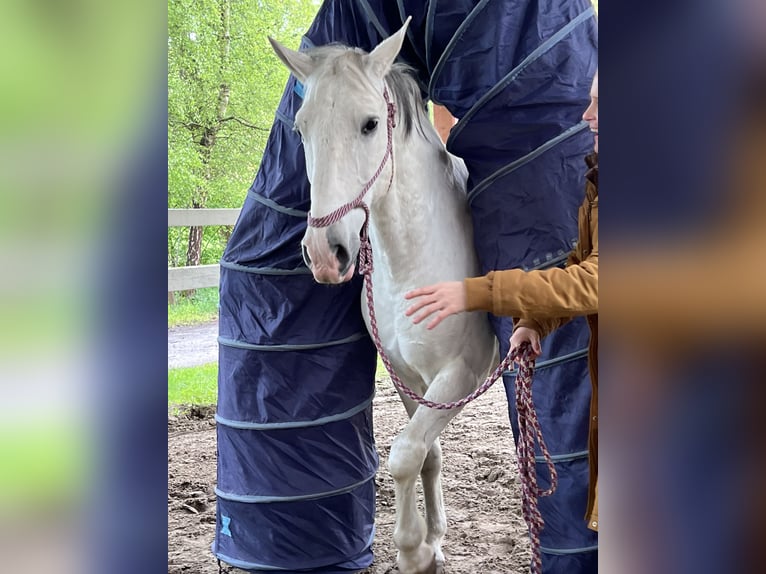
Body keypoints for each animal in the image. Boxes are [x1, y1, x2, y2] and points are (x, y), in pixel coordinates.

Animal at [272, 18, 500, 574]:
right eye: (301, 129)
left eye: (371, 124)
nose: (325, 253)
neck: (412, 262)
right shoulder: (406, 375)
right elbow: (425, 453)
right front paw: (434, 539)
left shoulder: (460, 374)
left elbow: (402, 454)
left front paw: (412, 549)